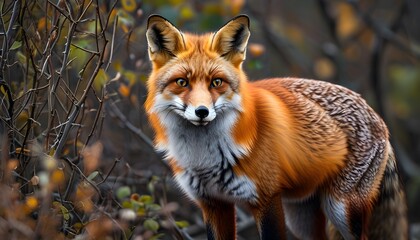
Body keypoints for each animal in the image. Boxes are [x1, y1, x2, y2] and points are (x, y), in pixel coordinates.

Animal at [144, 14, 406, 239]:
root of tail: (377, 117)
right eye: (182, 82)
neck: (204, 159)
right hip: (301, 218)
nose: (202, 112)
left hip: (341, 209)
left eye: (216, 82)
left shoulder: (266, 199)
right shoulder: (213, 204)